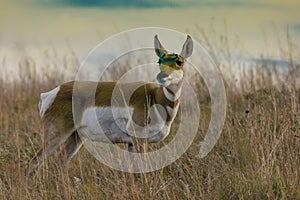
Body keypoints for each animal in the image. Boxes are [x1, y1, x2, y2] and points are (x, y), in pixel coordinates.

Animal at [29, 35, 193, 174]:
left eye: (180, 61)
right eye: (159, 61)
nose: (162, 76)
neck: (154, 97)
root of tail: (51, 93)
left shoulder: (131, 143)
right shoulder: (139, 140)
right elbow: (143, 168)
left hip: (75, 138)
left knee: (59, 163)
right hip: (56, 135)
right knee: (35, 163)